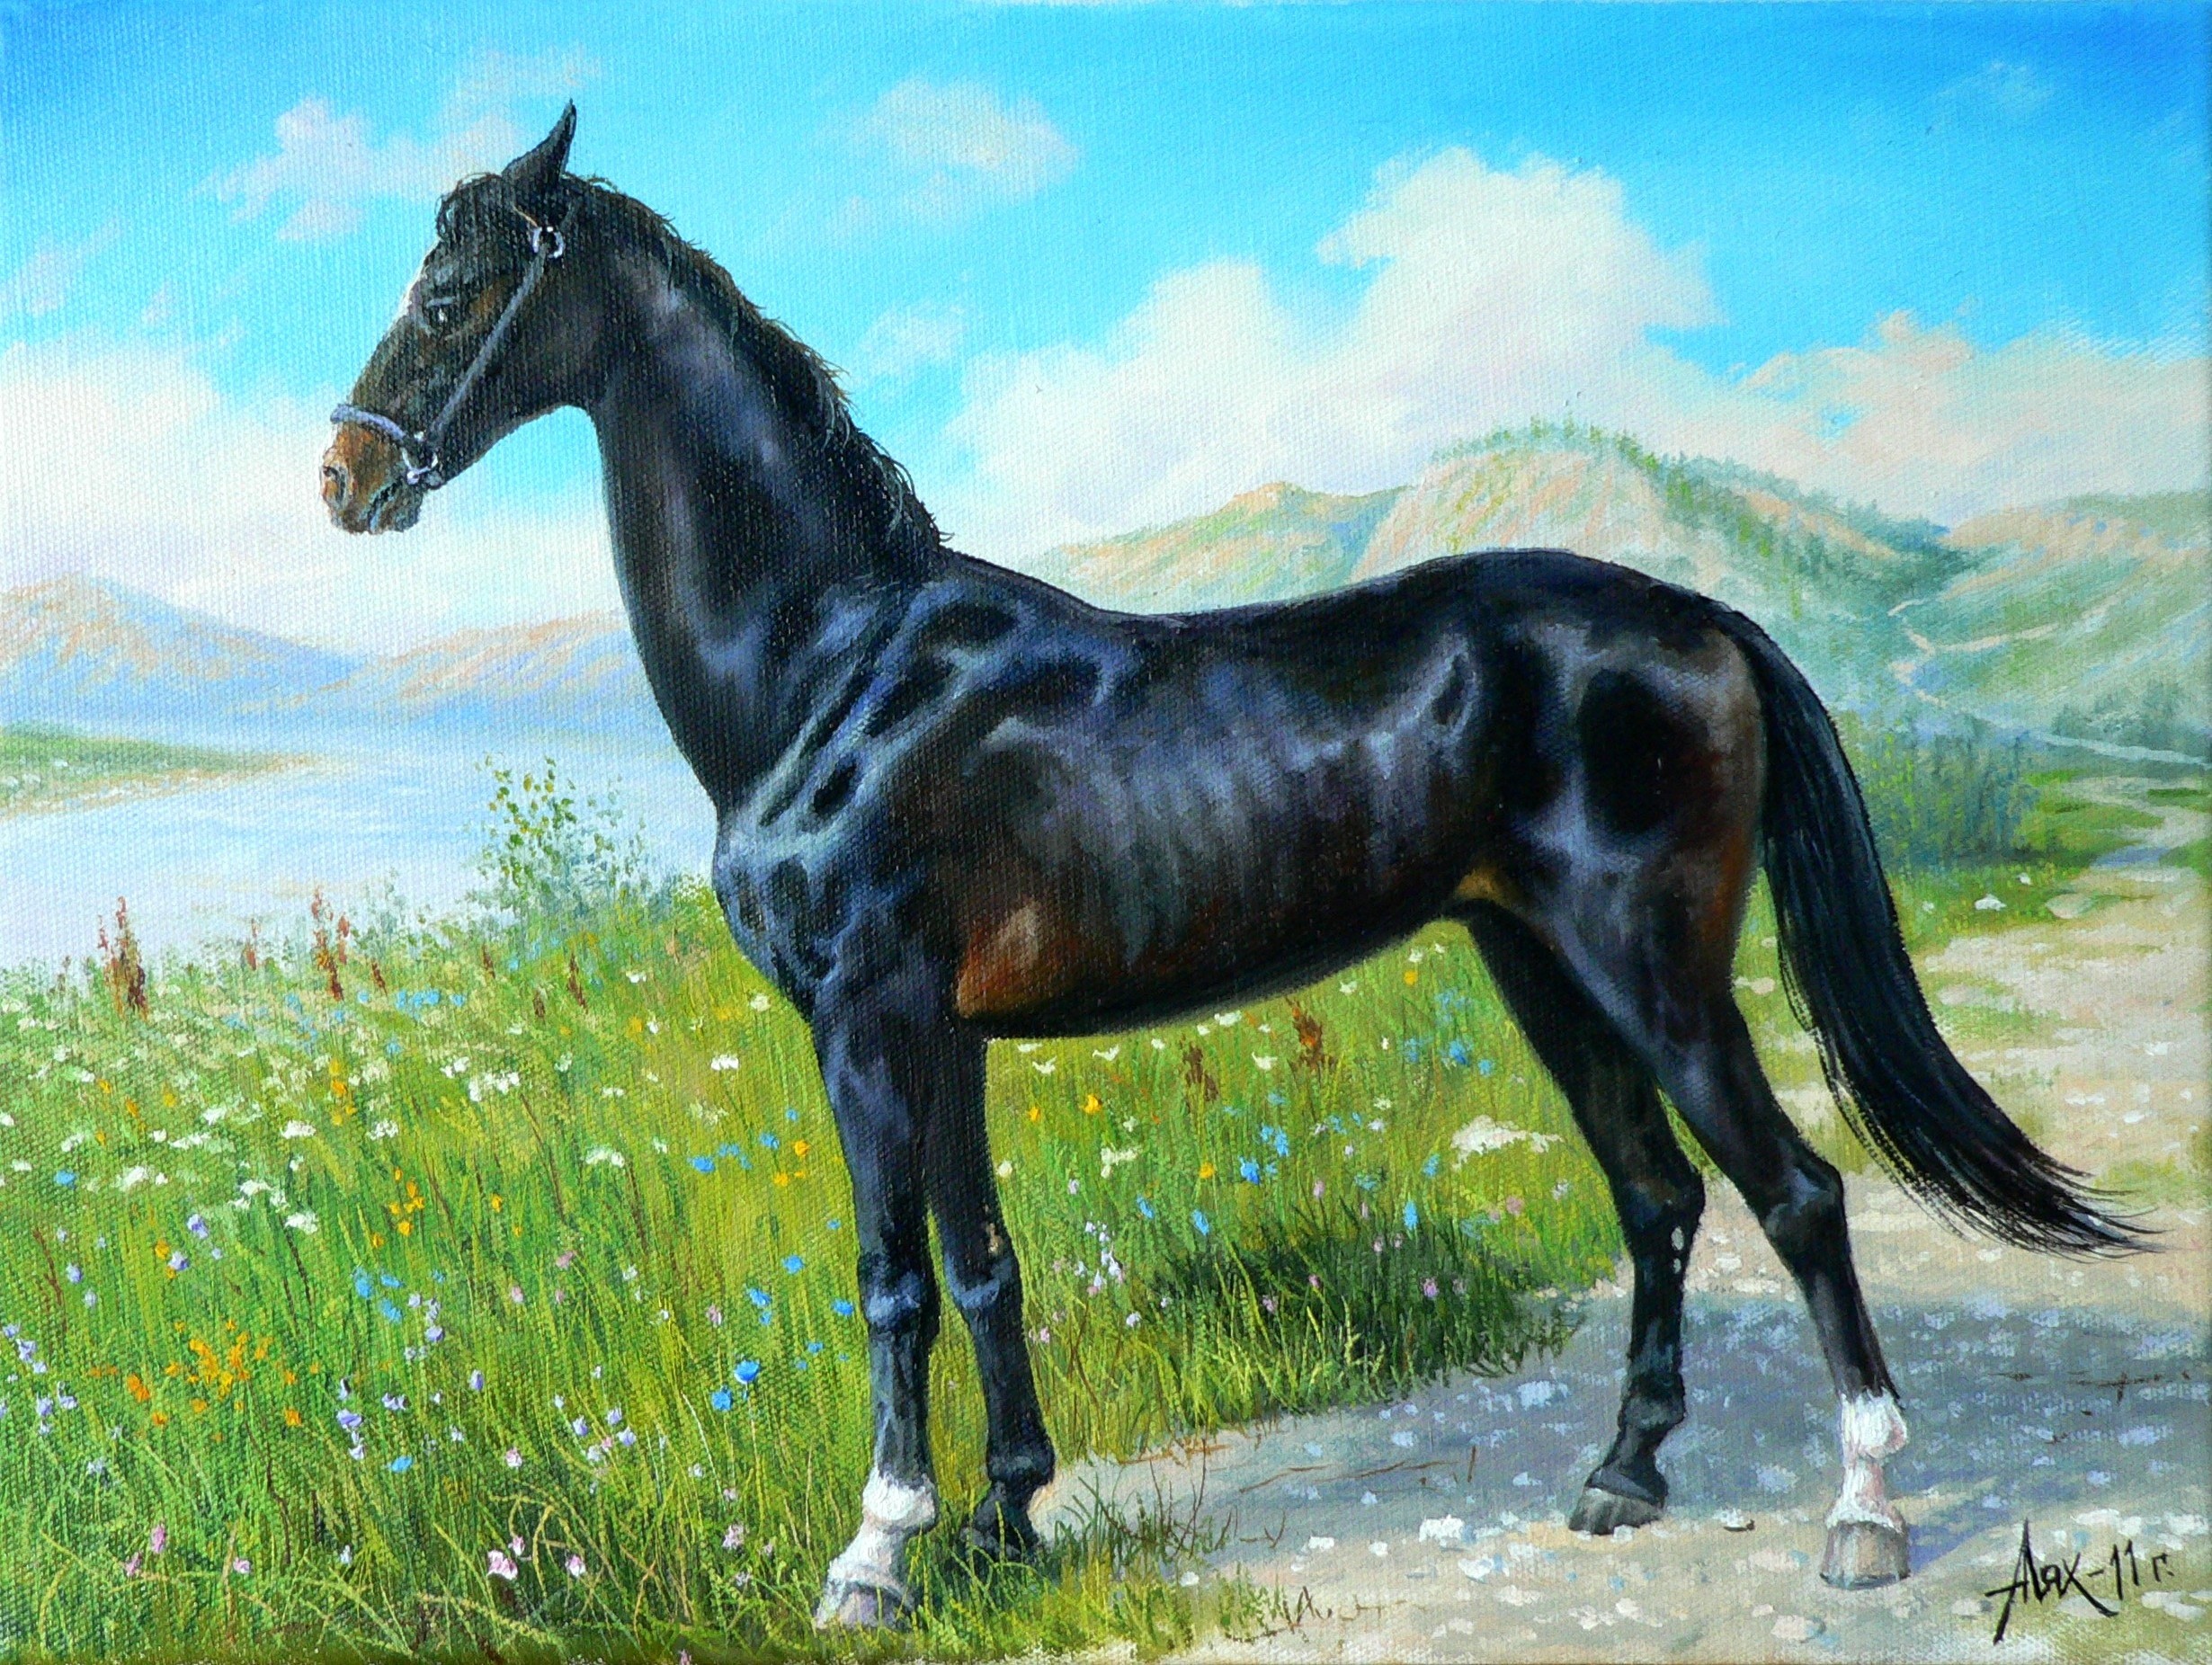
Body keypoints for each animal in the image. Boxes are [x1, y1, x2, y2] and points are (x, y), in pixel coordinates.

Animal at [321, 106, 2141, 1628]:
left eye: (461, 290)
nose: (343, 478)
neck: (840, 663)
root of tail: (1704, 620)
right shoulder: (946, 1035)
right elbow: (982, 1267)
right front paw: (1007, 1525)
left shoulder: (868, 1022)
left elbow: (892, 1283)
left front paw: (879, 1556)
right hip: (1541, 967)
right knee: (1660, 1195)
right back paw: (1623, 1476)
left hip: (1658, 971)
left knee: (1796, 1193)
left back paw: (1865, 1515)